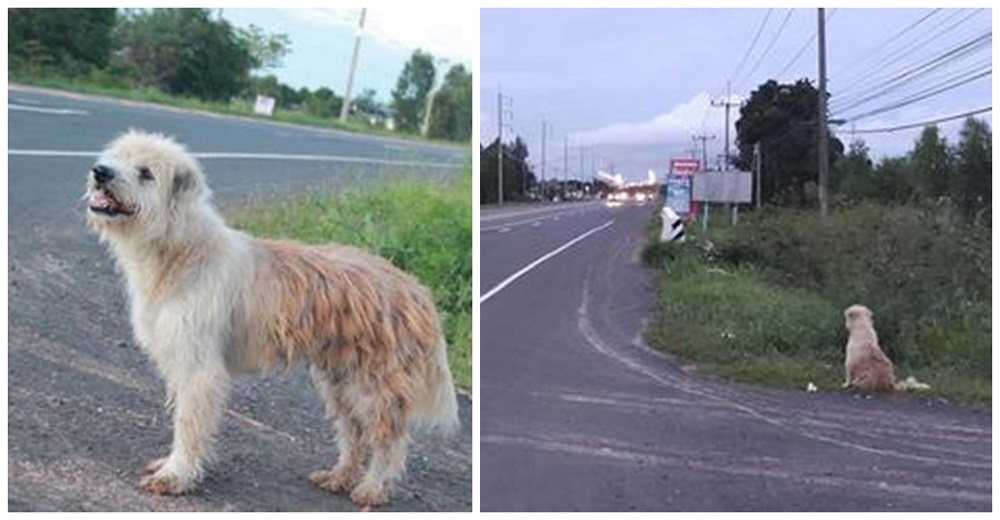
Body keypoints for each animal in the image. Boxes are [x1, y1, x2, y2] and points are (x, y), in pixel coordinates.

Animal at [86, 131, 460, 508]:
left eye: (146, 172)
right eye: (117, 157)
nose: (100, 171)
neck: (182, 250)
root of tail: (417, 290)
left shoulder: (200, 370)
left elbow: (189, 425)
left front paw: (175, 475)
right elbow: (182, 418)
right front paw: (170, 465)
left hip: (373, 388)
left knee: (389, 441)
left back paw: (373, 488)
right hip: (341, 382)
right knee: (353, 433)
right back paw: (339, 476)